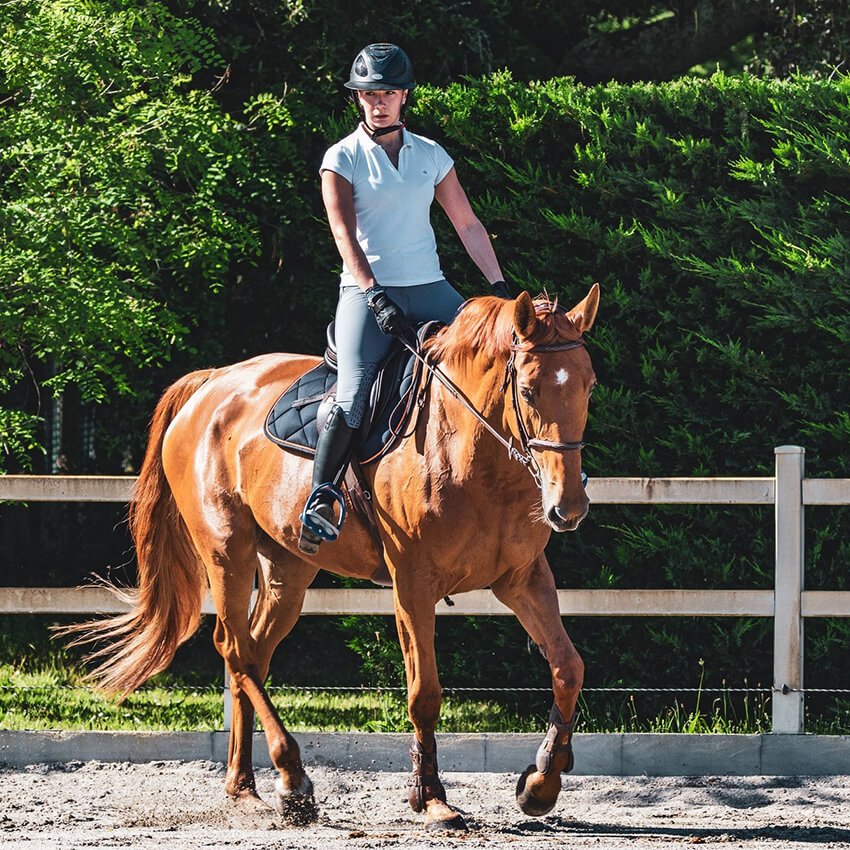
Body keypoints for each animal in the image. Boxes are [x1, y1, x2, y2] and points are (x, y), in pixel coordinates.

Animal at [66, 285, 599, 831]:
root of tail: (210, 384)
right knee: (234, 648)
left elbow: (568, 668)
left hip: (288, 568)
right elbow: (424, 693)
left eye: (589, 386)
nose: (569, 507)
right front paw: (430, 798)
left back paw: (246, 788)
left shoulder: (523, 578)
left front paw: (541, 783)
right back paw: (293, 779)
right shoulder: (413, 584)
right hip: (226, 551)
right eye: (529, 391)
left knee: (253, 653)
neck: (470, 452)